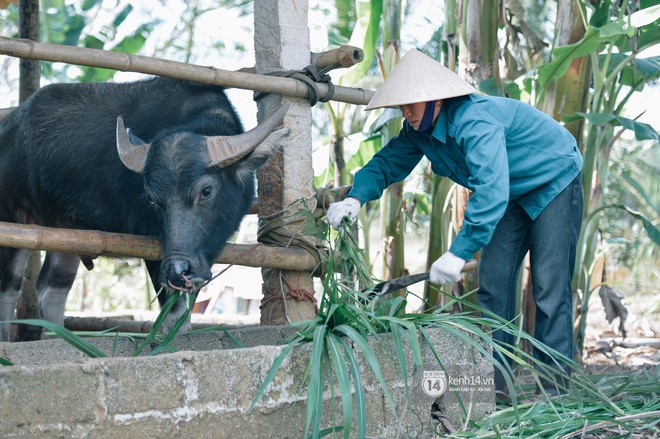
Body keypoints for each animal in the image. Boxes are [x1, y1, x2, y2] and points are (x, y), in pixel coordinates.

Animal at [0, 77, 288, 342]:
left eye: (206, 191)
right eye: (152, 200)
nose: (177, 270)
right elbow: (173, 312)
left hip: (67, 234)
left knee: (52, 291)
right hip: (17, 222)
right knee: (8, 290)